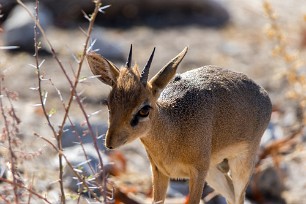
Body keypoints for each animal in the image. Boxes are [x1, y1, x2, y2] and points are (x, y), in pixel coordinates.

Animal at [86, 46, 272, 204]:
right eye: (108, 103)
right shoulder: (159, 172)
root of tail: (263, 93)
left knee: (239, 195)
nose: (110, 143)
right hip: (213, 171)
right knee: (231, 194)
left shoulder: (198, 172)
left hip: (242, 164)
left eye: (144, 109)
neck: (174, 129)